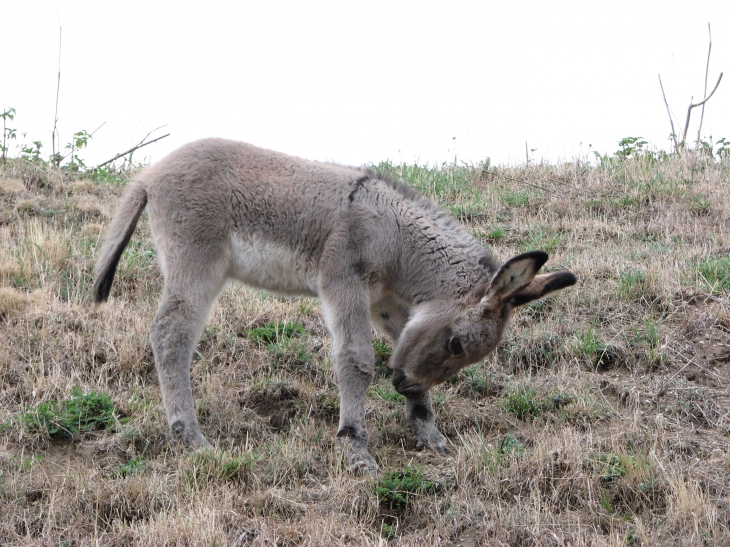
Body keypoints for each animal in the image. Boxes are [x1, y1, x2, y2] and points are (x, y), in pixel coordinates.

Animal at [94, 139, 576, 478]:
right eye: (457, 345)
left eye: (465, 355)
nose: (401, 383)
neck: (396, 238)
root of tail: (150, 174)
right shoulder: (344, 284)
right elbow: (356, 361)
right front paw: (356, 449)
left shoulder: (387, 305)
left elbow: (397, 348)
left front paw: (427, 432)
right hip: (197, 263)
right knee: (170, 335)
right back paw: (189, 437)